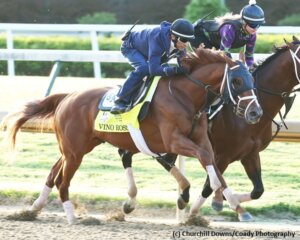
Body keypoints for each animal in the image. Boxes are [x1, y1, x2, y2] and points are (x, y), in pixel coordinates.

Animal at [1, 47, 262, 224]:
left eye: (251, 78)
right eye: (237, 81)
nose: (255, 112)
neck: (185, 96)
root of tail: (67, 96)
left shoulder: (202, 139)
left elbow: (211, 162)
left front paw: (230, 203)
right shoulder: (173, 140)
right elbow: (206, 161)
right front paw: (211, 196)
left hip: (78, 147)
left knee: (55, 172)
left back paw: (34, 208)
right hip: (75, 151)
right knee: (62, 181)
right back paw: (71, 217)